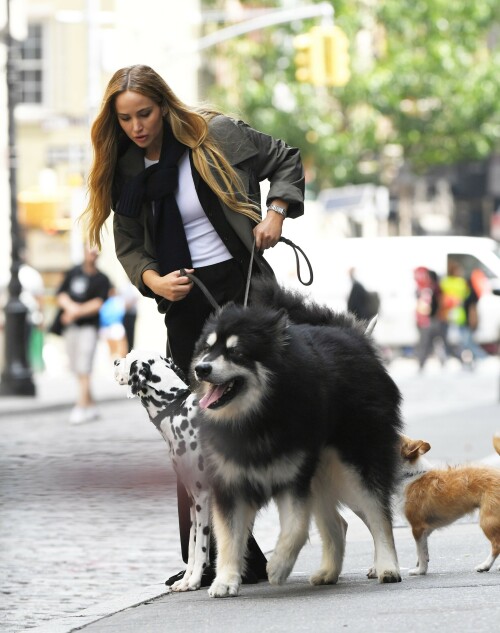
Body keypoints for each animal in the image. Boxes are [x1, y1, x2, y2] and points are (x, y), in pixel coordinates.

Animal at [114, 350, 211, 592]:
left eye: (128, 356)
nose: (115, 361)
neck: (176, 409)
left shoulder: (203, 496)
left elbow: (201, 547)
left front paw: (194, 581)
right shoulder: (192, 500)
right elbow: (192, 545)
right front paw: (186, 580)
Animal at [190, 280, 402, 596]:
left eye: (236, 352)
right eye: (207, 348)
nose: (201, 368)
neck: (256, 418)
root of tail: (353, 336)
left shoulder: (294, 480)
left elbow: (296, 529)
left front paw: (278, 566)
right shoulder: (230, 485)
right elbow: (228, 537)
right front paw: (225, 580)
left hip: (356, 465)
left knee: (378, 515)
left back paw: (387, 566)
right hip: (325, 473)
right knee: (339, 523)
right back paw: (329, 572)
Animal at [398, 434, 500, 572]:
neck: (410, 475)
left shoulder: (417, 528)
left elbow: (420, 552)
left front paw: (420, 571)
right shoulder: (426, 529)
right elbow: (424, 551)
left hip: (488, 520)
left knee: (496, 546)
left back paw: (485, 565)